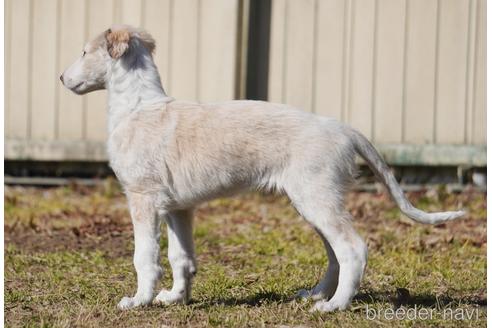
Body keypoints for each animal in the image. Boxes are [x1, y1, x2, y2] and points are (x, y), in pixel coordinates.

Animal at [61, 24, 466, 312]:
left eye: (84, 51)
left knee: (352, 249)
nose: (62, 78)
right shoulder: (179, 208)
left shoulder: (143, 200)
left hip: (317, 198)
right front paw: (175, 298)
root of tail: (343, 128)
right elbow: (181, 258)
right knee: (335, 253)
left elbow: (145, 257)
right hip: (312, 201)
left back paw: (335, 306)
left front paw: (138, 301)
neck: (138, 107)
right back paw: (316, 295)